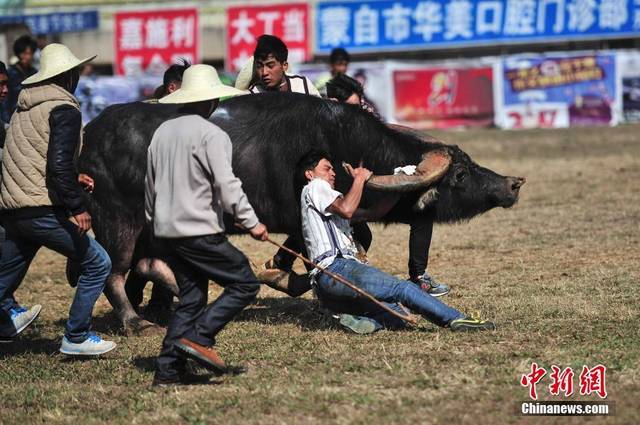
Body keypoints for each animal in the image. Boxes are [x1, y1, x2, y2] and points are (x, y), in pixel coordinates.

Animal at [74, 92, 524, 332]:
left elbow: (340, 242)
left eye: (469, 162)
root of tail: (89, 137)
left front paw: (278, 271)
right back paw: (135, 321)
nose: (512, 184)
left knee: (145, 264)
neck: (341, 144)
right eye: (461, 174)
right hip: (118, 219)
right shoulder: (299, 209)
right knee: (115, 271)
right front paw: (287, 278)